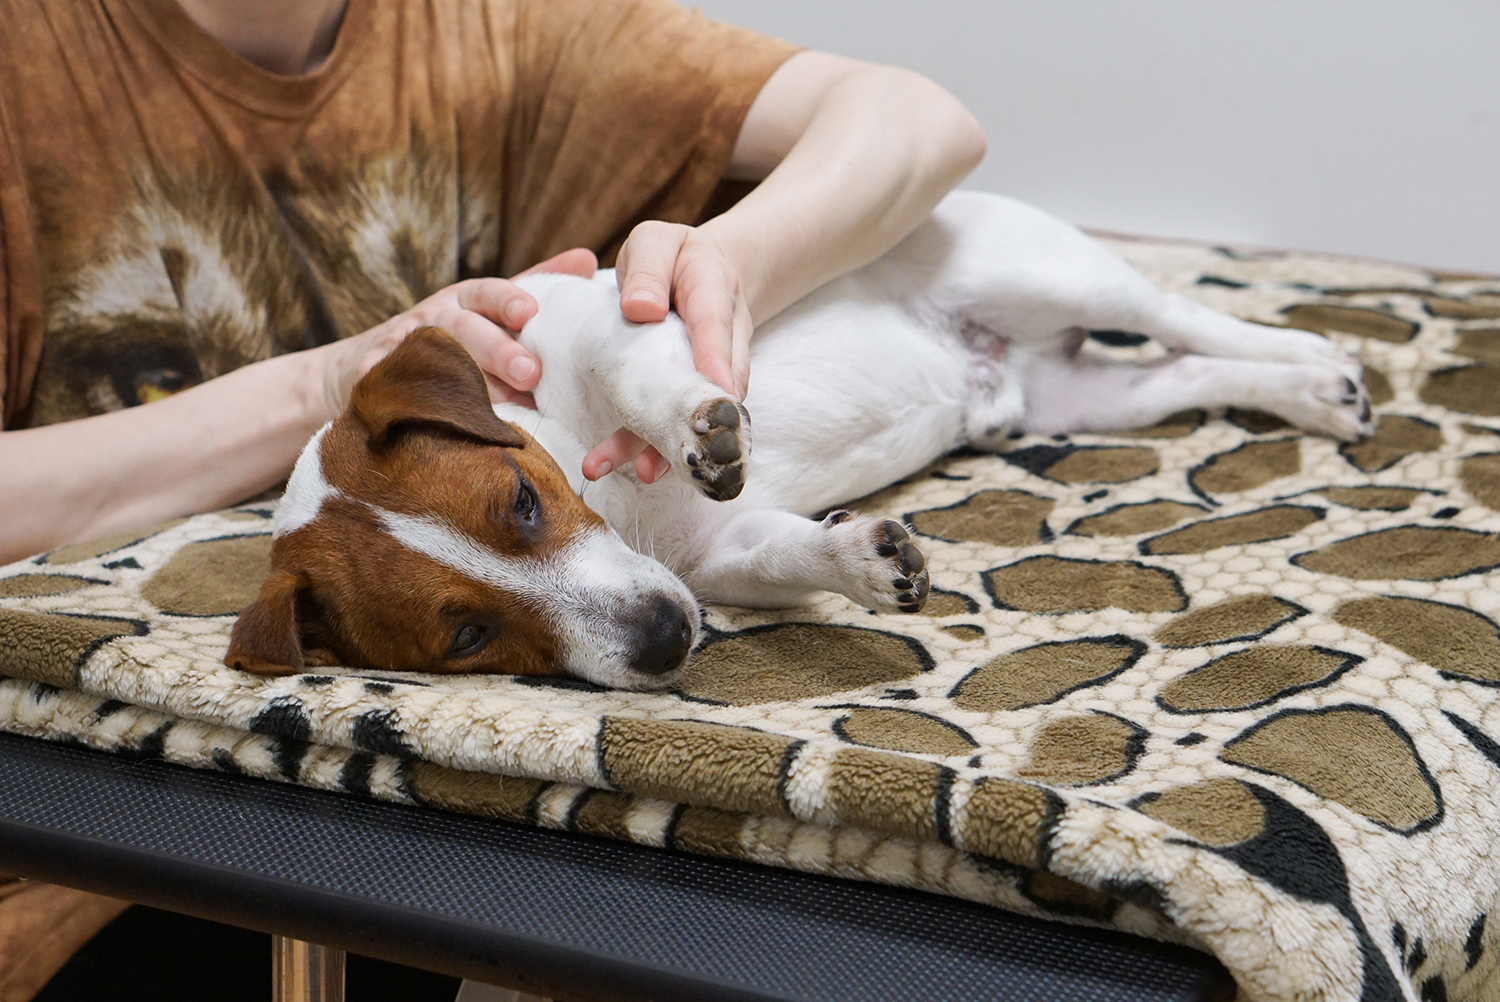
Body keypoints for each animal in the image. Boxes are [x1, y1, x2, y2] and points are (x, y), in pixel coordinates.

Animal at [225, 189, 1374, 690]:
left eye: (521, 500)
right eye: (465, 637)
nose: (664, 641)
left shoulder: (615, 317)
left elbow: (642, 367)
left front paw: (701, 428)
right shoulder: (712, 562)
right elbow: (786, 552)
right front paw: (862, 559)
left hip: (1058, 278)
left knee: (1194, 320)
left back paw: (1318, 357)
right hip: (1076, 402)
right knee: (1187, 374)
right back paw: (1312, 395)